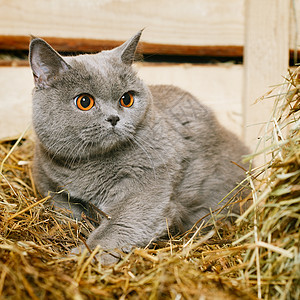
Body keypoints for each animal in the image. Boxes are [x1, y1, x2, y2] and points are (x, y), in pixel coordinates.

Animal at [29, 30, 250, 264]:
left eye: (126, 99)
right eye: (84, 102)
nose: (113, 118)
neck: (89, 166)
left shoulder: (149, 189)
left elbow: (118, 226)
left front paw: (86, 254)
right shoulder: (46, 179)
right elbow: (63, 208)